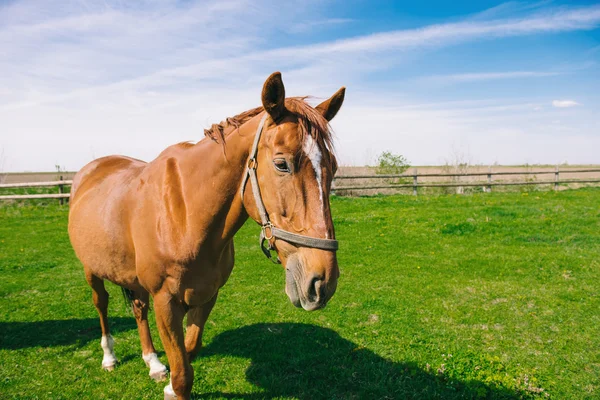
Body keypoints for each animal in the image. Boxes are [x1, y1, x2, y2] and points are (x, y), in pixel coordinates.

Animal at [68, 72, 344, 400]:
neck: (186, 216)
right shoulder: (166, 301)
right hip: (91, 270)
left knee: (138, 309)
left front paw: (167, 384)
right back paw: (109, 356)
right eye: (281, 164)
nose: (323, 281)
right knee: (101, 303)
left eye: (333, 167)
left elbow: (188, 352)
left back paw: (152, 362)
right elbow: (183, 374)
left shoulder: (207, 295)